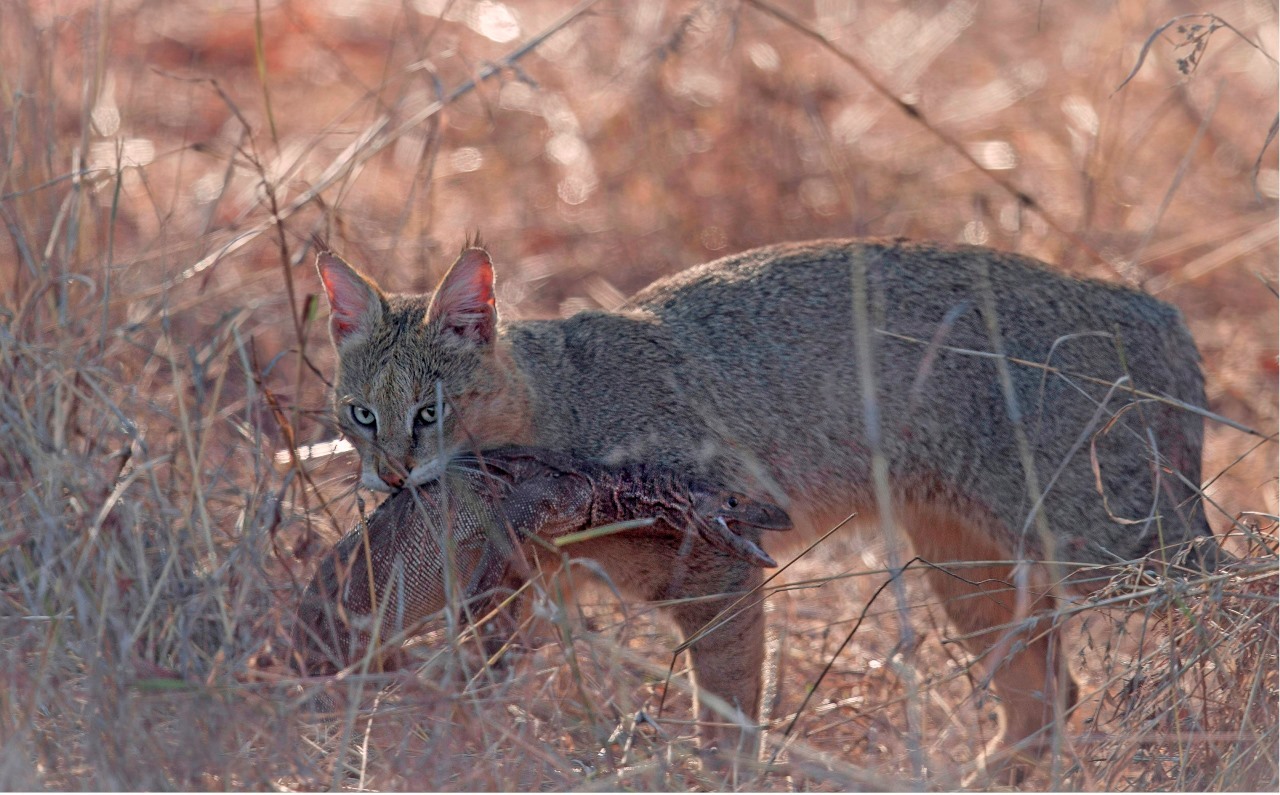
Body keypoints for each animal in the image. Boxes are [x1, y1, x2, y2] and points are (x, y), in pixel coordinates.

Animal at [314, 235, 1213, 783]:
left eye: (429, 411)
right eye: (360, 414)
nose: (393, 474)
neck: (558, 406)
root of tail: (1156, 307)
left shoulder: (721, 570)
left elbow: (730, 715)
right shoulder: (513, 595)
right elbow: (467, 695)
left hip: (1115, 546)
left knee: (1220, 606)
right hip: (974, 567)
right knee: (1047, 698)